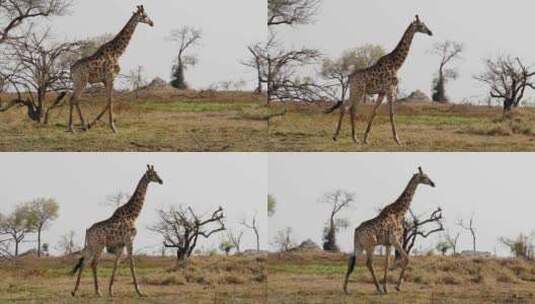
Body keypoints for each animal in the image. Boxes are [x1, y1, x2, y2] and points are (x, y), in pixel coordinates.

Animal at [67, 5, 153, 134]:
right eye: (145, 15)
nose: (152, 23)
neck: (117, 52)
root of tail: (72, 69)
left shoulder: (105, 80)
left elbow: (108, 101)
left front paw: (92, 124)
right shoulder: (111, 77)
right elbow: (111, 101)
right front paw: (113, 127)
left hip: (76, 82)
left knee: (73, 99)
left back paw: (79, 126)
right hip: (82, 81)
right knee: (74, 98)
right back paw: (73, 127)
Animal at [71, 164, 163, 296]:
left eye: (156, 172)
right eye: (153, 174)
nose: (161, 181)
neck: (133, 215)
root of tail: (87, 231)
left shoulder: (120, 245)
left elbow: (116, 265)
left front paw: (111, 290)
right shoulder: (129, 240)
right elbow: (132, 264)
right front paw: (139, 291)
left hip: (91, 246)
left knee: (83, 262)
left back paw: (75, 291)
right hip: (99, 245)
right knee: (93, 263)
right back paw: (98, 291)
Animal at [330, 15, 436, 145]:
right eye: (421, 25)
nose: (430, 32)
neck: (396, 64)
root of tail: (350, 77)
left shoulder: (382, 92)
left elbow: (374, 112)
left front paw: (366, 138)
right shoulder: (390, 89)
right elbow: (391, 113)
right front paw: (397, 139)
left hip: (353, 91)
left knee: (346, 107)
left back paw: (340, 136)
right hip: (358, 91)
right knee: (351, 109)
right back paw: (352, 137)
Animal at [344, 166, 436, 294]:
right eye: (424, 176)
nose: (433, 183)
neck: (399, 212)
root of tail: (356, 232)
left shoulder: (388, 244)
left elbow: (386, 263)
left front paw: (386, 288)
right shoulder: (395, 240)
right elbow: (406, 258)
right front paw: (397, 287)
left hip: (359, 245)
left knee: (351, 259)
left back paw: (346, 289)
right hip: (370, 244)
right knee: (368, 263)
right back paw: (377, 288)